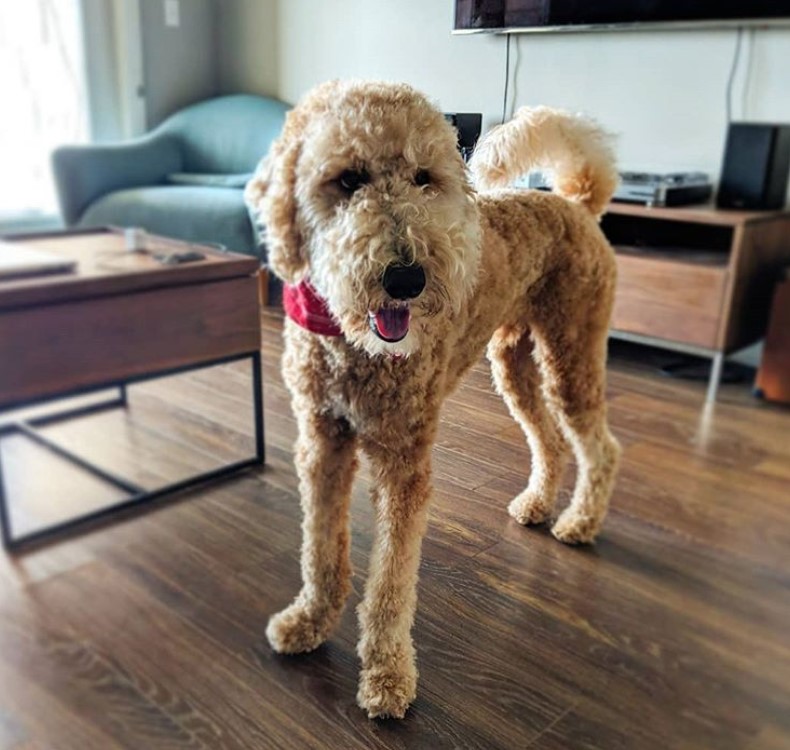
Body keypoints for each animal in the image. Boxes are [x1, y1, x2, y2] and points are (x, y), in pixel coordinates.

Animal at [248, 79, 624, 720]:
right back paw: (537, 504)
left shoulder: (405, 464)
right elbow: (320, 550)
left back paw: (578, 521)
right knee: (548, 439)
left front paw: (387, 675)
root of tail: (575, 202)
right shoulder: (322, 443)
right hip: (513, 363)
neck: (352, 343)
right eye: (348, 179)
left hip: (571, 356)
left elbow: (391, 584)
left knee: (601, 448)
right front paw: (310, 621)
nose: (406, 278)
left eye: (424, 177)